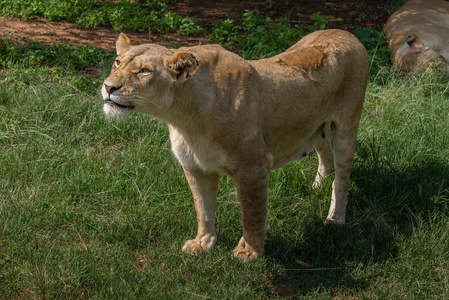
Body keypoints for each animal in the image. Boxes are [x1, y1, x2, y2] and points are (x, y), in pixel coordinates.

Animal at [101, 31, 368, 260]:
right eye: (117, 62)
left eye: (145, 71)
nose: (108, 87)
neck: (185, 117)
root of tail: (347, 33)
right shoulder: (195, 166)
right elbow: (203, 209)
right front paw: (203, 243)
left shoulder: (254, 167)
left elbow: (252, 213)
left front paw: (250, 252)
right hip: (316, 126)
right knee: (326, 156)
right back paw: (316, 187)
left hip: (346, 128)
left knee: (342, 179)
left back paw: (335, 219)